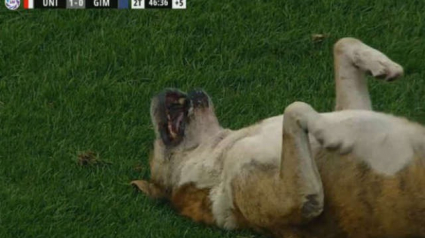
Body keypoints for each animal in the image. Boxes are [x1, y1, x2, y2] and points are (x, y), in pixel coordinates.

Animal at [132, 38, 424, 237]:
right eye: (152, 154)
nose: (157, 94)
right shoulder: (301, 199)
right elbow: (294, 108)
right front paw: (330, 132)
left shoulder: (352, 108)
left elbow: (342, 43)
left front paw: (381, 63)